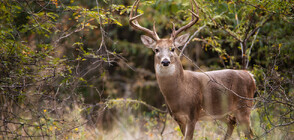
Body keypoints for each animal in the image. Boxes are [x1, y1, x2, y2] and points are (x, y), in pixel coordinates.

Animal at [129, 0, 255, 139]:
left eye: (173, 48)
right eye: (156, 49)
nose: (165, 61)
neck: (181, 92)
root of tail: (250, 75)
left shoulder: (193, 114)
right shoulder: (178, 118)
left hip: (244, 107)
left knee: (249, 134)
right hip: (223, 112)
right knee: (232, 123)